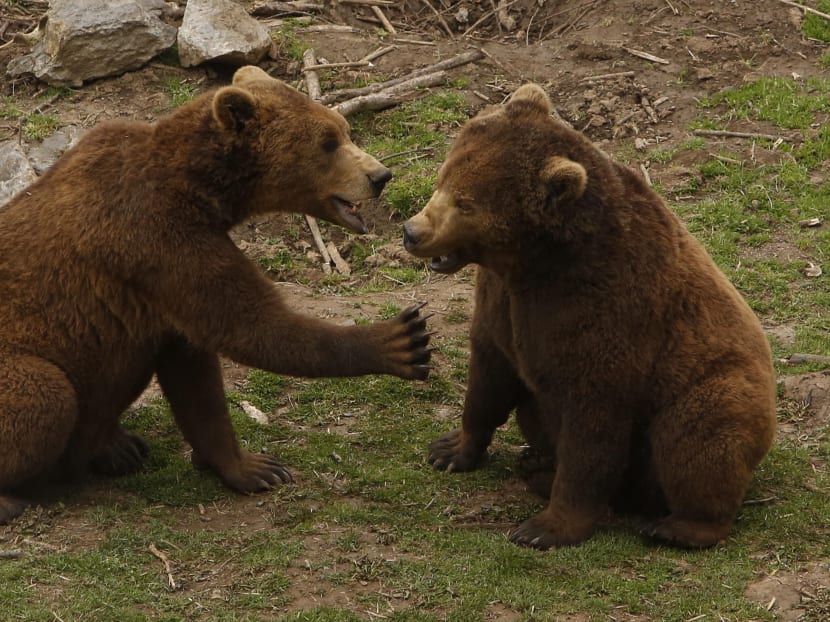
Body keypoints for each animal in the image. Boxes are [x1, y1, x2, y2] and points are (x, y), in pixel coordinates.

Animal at [0, 65, 432, 524]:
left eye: (344, 129)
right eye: (328, 141)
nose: (380, 176)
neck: (200, 188)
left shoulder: (166, 290)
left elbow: (195, 375)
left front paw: (247, 466)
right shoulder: (160, 240)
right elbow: (249, 325)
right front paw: (400, 340)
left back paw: (117, 445)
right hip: (24, 365)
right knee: (46, 395)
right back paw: (15, 494)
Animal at [402, 83, 776, 549]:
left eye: (465, 203)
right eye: (444, 177)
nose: (412, 231)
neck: (535, 263)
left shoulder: (605, 312)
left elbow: (591, 429)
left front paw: (544, 528)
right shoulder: (501, 302)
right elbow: (489, 376)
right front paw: (450, 449)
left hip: (716, 386)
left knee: (698, 437)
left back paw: (677, 525)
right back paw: (537, 467)